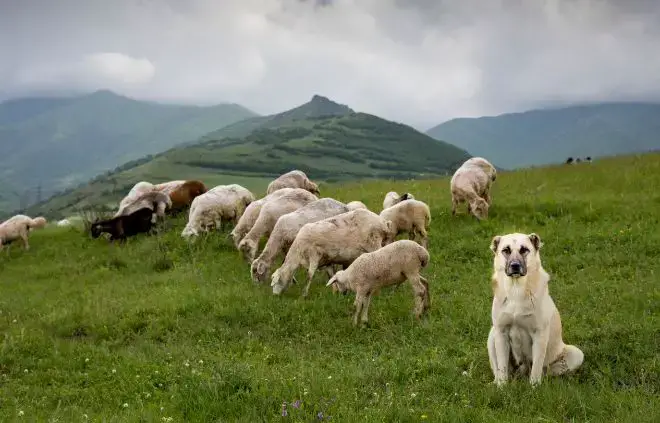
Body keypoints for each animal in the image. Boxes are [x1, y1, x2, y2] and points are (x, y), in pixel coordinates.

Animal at [484, 234, 584, 386]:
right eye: (506, 250)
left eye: (524, 250)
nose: (515, 266)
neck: (516, 289)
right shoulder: (501, 331)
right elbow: (502, 366)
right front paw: (502, 387)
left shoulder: (539, 334)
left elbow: (536, 366)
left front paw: (534, 387)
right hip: (492, 335)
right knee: (499, 370)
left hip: (576, 354)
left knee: (546, 371)